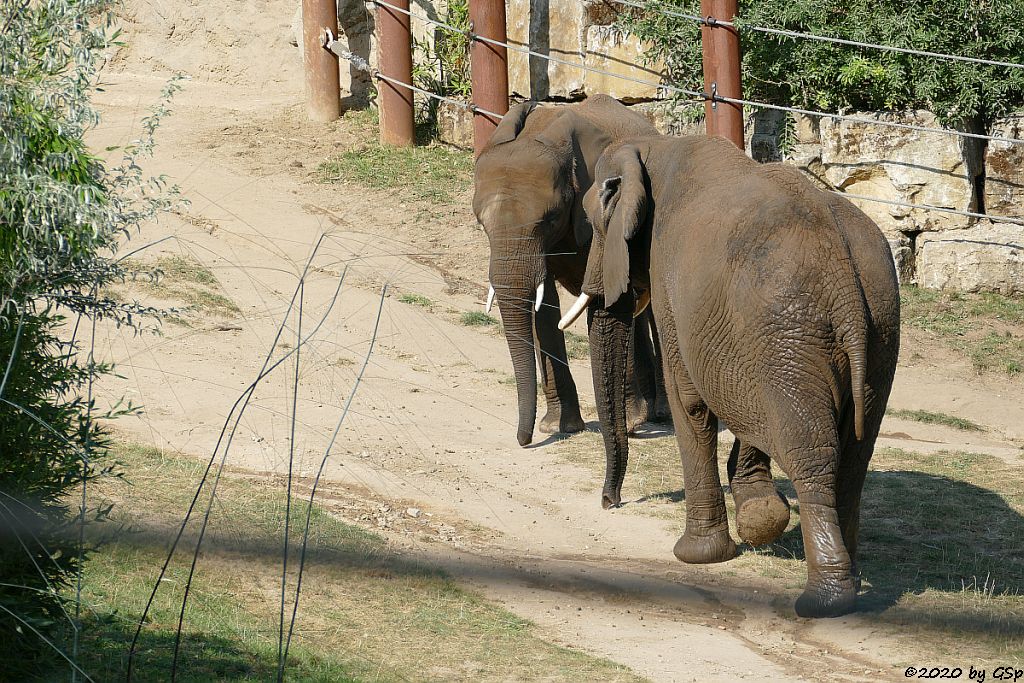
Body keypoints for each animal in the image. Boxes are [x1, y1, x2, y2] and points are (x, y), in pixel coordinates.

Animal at [468, 94, 663, 507]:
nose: (523, 441)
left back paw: (650, 416)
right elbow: (543, 307)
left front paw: (628, 422)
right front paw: (558, 426)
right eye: (481, 224)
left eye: (549, 217)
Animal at [561, 135, 905, 618]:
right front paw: (760, 518)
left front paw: (696, 555)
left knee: (813, 454)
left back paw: (823, 601)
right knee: (856, 454)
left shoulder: (669, 282)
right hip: (877, 330)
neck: (655, 148)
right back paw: (851, 584)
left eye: (593, 224)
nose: (611, 503)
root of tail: (844, 277)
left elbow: (688, 399)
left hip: (788, 334)